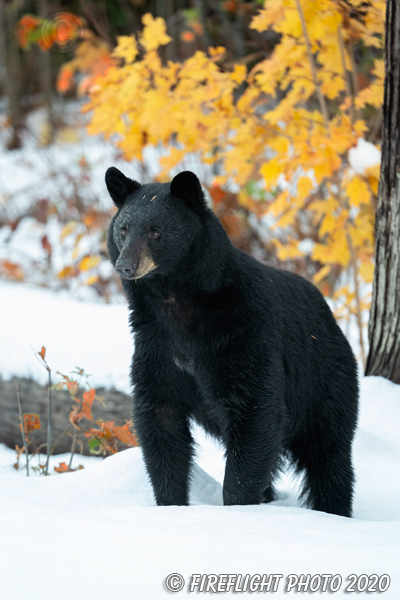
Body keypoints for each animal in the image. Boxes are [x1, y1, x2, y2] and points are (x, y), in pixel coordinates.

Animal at [104, 168, 358, 516]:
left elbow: (255, 408)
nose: (125, 266)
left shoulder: (242, 332)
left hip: (324, 384)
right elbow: (160, 420)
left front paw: (237, 508)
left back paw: (334, 510)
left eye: (156, 231)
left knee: (329, 457)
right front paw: (171, 503)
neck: (176, 302)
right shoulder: (155, 345)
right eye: (124, 228)